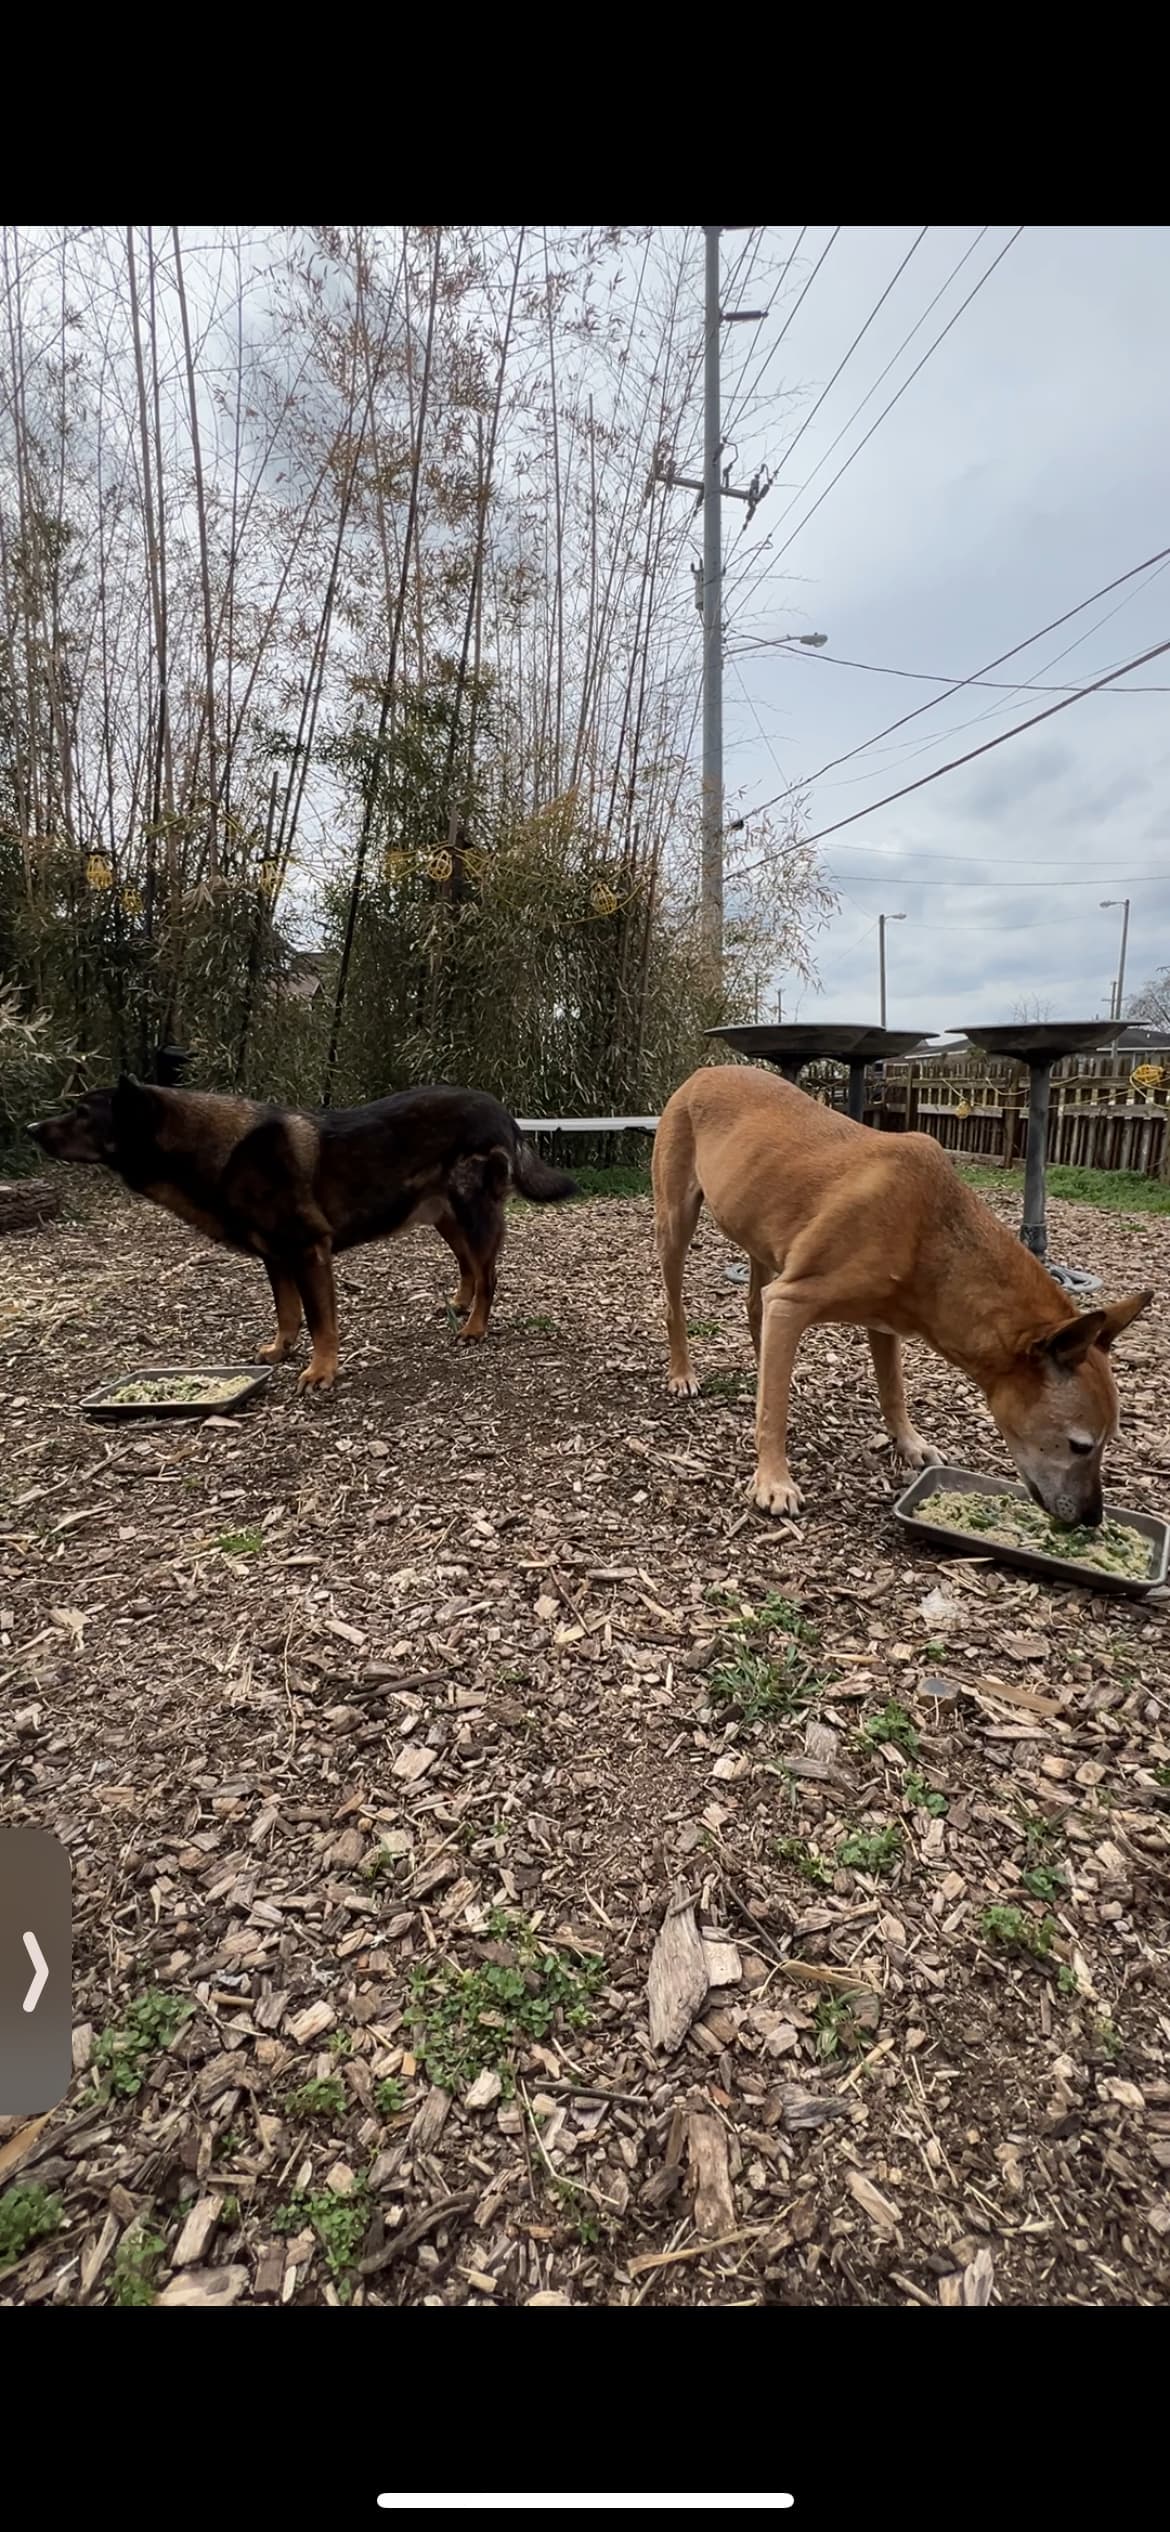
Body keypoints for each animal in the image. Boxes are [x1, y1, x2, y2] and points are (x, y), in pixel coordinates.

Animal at [34, 1073, 582, 1387]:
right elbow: (287, 1313)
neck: (217, 1150)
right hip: (443, 1215)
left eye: (82, 1113)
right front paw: (281, 1350)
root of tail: (500, 1109)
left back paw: (475, 1326)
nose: (29, 1130)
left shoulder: (306, 1252)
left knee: (488, 1274)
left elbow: (321, 1321)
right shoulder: (276, 1258)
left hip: (472, 1210)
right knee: (468, 1263)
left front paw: (320, 1372)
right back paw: (461, 1304)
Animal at [653, 1068, 1154, 1519]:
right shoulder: (793, 1300)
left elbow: (892, 1389)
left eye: (1108, 1442)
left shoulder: (884, 1321)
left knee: (756, 1307)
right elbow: (773, 1414)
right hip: (676, 1223)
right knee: (676, 1307)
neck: (932, 1233)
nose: (1092, 1518)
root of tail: (702, 1072)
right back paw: (682, 1373)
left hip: (761, 1236)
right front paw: (774, 1482)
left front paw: (910, 1443)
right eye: (1079, 1445)